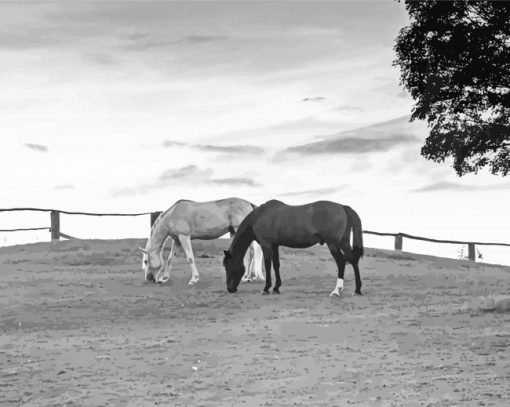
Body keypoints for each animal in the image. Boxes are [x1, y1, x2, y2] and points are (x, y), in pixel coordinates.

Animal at [223, 200, 362, 296]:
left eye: (228, 265)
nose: (230, 289)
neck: (260, 216)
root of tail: (343, 207)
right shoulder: (274, 245)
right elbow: (276, 265)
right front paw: (276, 288)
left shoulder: (266, 245)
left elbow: (267, 266)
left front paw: (266, 289)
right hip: (341, 242)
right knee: (350, 261)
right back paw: (353, 289)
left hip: (334, 243)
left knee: (344, 262)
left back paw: (340, 290)